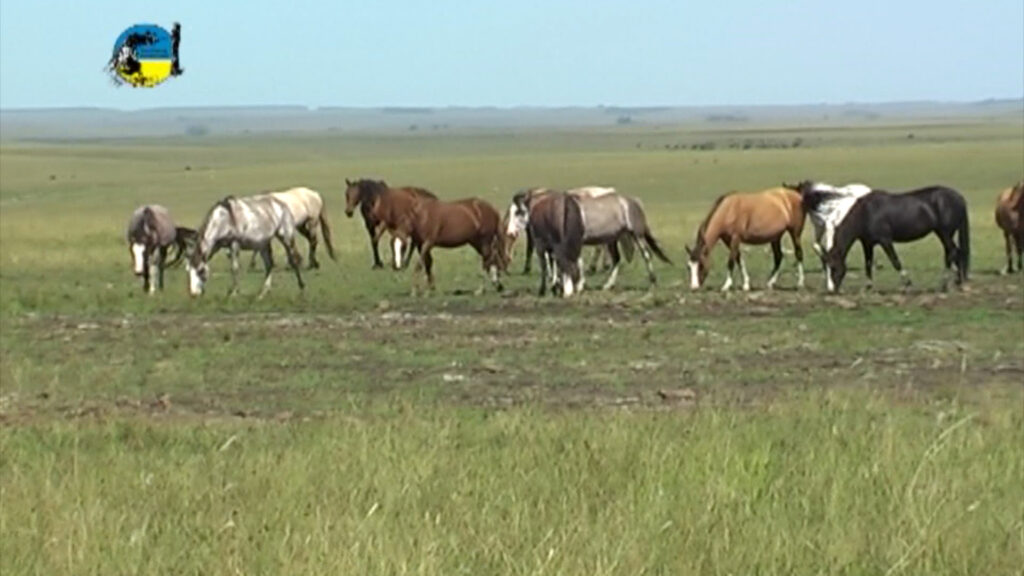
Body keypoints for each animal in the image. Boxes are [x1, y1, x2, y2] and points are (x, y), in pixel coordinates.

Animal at [808, 185, 970, 293]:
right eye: (826, 268)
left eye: (833, 267)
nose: (831, 290)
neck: (865, 213)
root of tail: (959, 197)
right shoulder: (868, 243)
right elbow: (868, 264)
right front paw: (868, 287)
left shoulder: (885, 241)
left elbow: (895, 261)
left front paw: (907, 283)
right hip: (943, 234)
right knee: (954, 253)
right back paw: (957, 282)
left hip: (945, 233)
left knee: (953, 252)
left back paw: (946, 284)